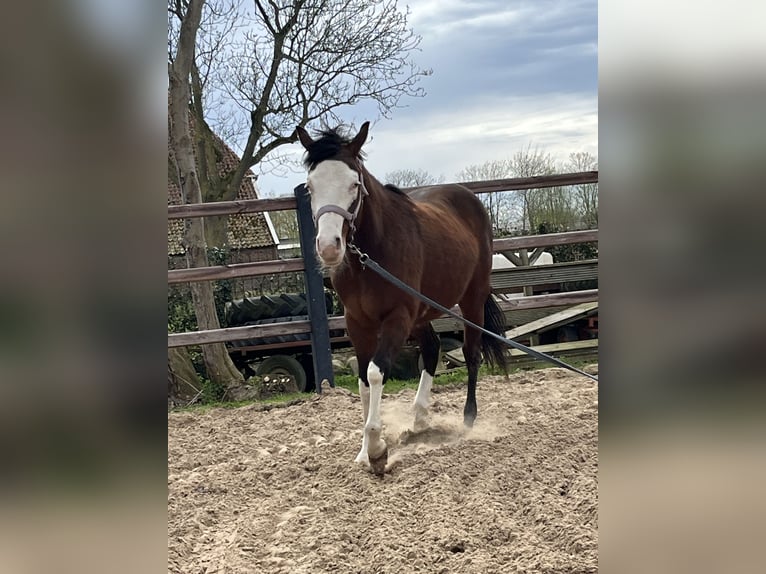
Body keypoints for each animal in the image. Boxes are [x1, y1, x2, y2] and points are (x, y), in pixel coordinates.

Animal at [295, 121, 508, 474]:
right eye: (310, 186)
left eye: (354, 184)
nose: (328, 247)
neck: (372, 254)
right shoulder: (358, 322)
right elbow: (363, 381)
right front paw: (363, 452)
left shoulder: (397, 317)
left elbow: (375, 372)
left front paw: (378, 450)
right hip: (422, 313)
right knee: (433, 348)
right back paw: (420, 419)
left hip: (471, 299)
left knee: (471, 352)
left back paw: (467, 420)